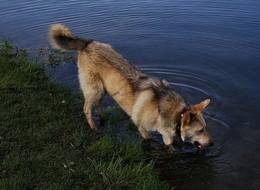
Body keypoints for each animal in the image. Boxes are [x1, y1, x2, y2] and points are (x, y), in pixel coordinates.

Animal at [49, 23, 213, 149]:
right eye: (200, 130)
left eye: (205, 128)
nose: (212, 144)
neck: (175, 113)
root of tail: (89, 42)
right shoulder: (144, 128)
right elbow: (149, 139)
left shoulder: (166, 135)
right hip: (94, 89)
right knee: (87, 109)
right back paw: (94, 128)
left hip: (104, 89)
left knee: (99, 103)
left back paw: (103, 118)